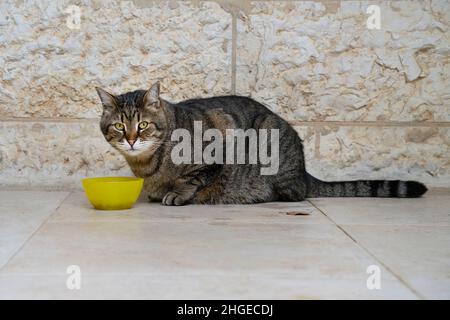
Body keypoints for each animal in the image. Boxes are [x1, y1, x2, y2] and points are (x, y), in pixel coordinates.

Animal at [96, 82, 428, 205]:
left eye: (142, 125)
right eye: (119, 126)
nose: (131, 140)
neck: (147, 165)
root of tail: (305, 172)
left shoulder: (218, 143)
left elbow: (193, 177)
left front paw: (177, 193)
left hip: (270, 142)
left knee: (294, 195)